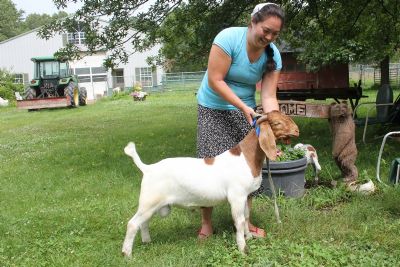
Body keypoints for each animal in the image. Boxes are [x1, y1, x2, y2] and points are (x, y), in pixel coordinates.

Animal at [122, 110, 300, 256]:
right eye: (277, 123)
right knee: (132, 224)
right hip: (149, 201)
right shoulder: (237, 196)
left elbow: (246, 216)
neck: (246, 156)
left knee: (143, 223)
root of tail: (148, 168)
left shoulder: (245, 196)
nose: (297, 130)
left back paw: (147, 242)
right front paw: (243, 249)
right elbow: (240, 221)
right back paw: (127, 254)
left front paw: (249, 237)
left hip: (153, 204)